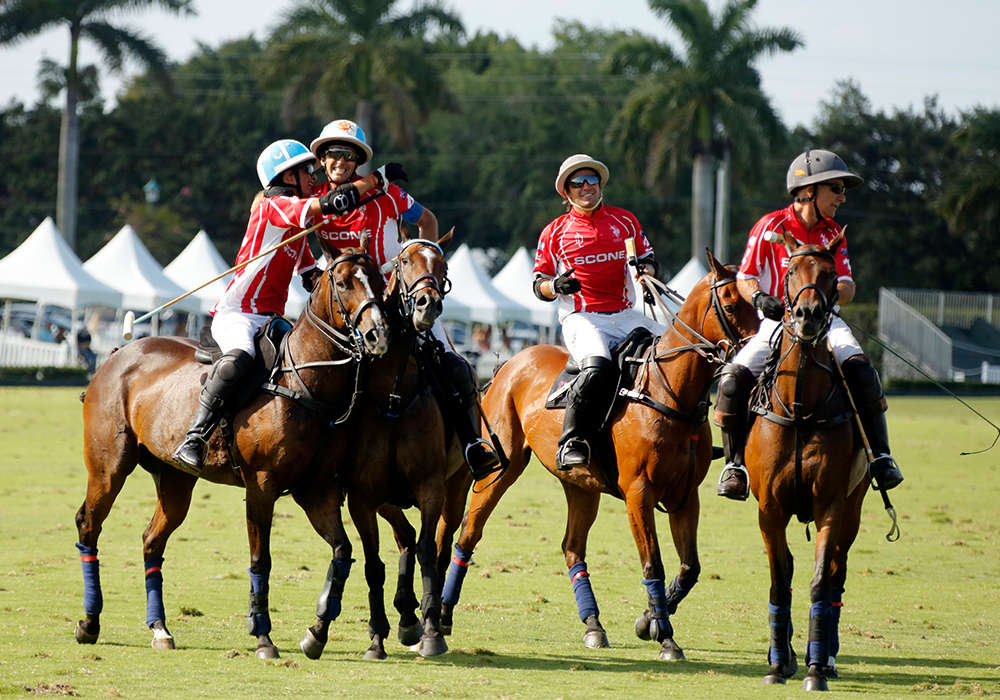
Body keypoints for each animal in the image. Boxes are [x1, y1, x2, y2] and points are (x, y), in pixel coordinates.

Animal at [70, 243, 388, 660]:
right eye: (345, 281)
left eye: (380, 280)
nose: (377, 334)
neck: (305, 381)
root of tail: (117, 353)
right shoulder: (261, 487)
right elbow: (260, 560)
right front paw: (263, 637)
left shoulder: (317, 491)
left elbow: (342, 550)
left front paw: (316, 632)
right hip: (109, 466)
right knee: (89, 524)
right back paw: (89, 622)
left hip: (174, 479)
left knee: (152, 540)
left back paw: (160, 628)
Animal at [294, 232, 462, 660]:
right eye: (403, 262)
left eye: (443, 266)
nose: (427, 304)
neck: (393, 398)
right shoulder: (363, 496)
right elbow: (373, 564)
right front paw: (376, 638)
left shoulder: (431, 488)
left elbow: (428, 553)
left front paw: (431, 633)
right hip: (388, 499)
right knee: (404, 537)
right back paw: (405, 616)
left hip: (457, 489)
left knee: (439, 545)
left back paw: (429, 617)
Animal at [438, 253, 756, 660]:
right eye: (731, 305)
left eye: (760, 301)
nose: (756, 355)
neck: (670, 394)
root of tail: (510, 363)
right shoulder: (639, 493)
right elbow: (652, 564)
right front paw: (666, 637)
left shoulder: (686, 496)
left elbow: (690, 568)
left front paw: (649, 620)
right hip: (501, 468)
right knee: (468, 532)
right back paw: (444, 613)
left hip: (580, 484)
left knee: (572, 548)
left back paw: (593, 625)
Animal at [748, 232, 872, 692]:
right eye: (789, 271)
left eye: (831, 274)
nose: (808, 316)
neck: (801, 407)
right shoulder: (770, 509)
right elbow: (779, 580)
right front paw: (777, 663)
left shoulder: (831, 505)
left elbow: (820, 582)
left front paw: (816, 669)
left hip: (855, 506)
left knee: (836, 572)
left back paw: (828, 656)